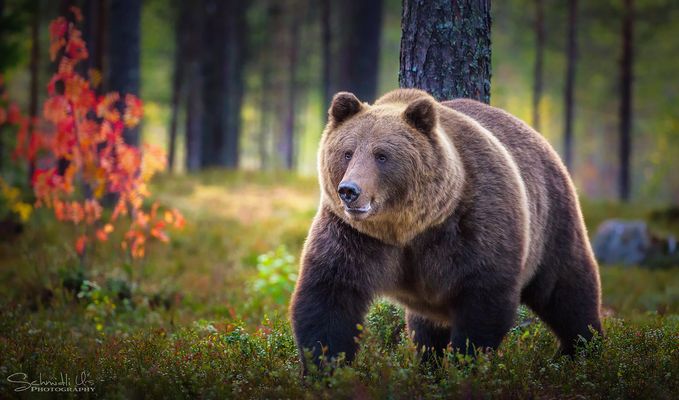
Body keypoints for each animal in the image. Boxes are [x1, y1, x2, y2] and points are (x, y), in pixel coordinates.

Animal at [289, 88, 603, 372]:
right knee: (424, 329)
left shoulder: (473, 224)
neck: (409, 228)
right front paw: (325, 369)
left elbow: (483, 300)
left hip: (552, 222)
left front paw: (466, 364)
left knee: (567, 291)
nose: (349, 191)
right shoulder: (355, 237)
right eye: (347, 152)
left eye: (382, 155)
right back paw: (429, 363)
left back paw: (581, 350)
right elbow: (329, 296)